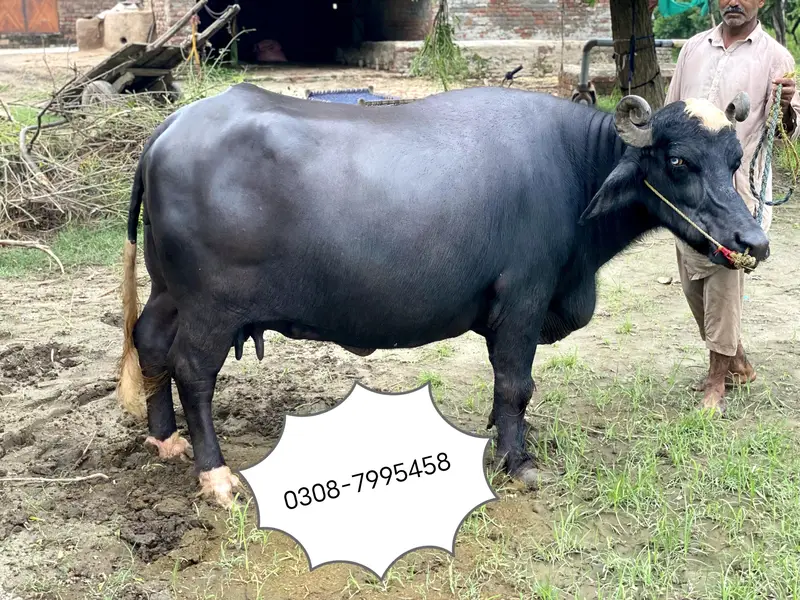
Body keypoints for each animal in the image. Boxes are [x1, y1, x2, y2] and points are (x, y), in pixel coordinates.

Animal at [117, 83, 768, 507]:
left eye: (735, 158)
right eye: (679, 161)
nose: (753, 241)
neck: (574, 168)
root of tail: (168, 130)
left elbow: (507, 387)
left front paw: (502, 436)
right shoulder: (524, 298)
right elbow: (516, 382)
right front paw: (519, 461)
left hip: (167, 290)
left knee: (148, 342)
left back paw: (164, 439)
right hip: (211, 306)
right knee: (192, 371)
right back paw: (216, 475)